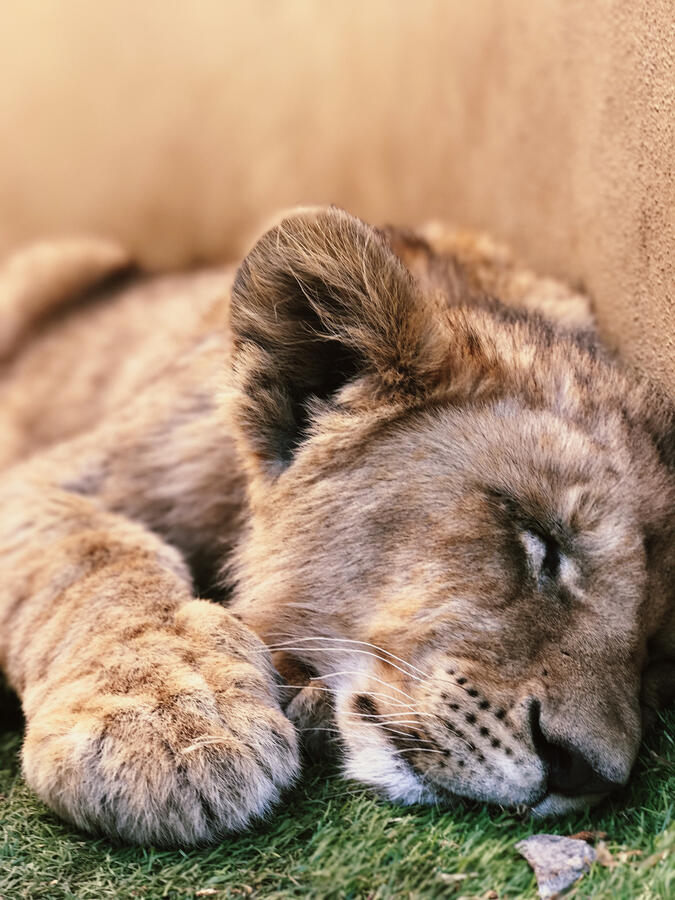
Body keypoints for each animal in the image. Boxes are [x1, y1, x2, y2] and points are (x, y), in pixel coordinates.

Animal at [0, 208, 672, 847]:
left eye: (654, 644)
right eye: (538, 540)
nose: (584, 773)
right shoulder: (45, 479)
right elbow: (99, 563)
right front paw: (169, 729)